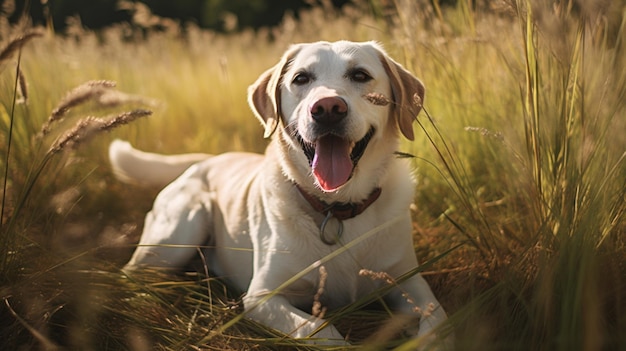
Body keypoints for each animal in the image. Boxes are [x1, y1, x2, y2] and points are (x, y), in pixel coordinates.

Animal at [109, 40, 446, 346]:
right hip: (181, 229)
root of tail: (207, 160)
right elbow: (321, 330)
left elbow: (437, 318)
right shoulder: (262, 297)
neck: (337, 207)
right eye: (301, 78)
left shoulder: (410, 281)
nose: (327, 108)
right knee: (130, 274)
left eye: (360, 75)